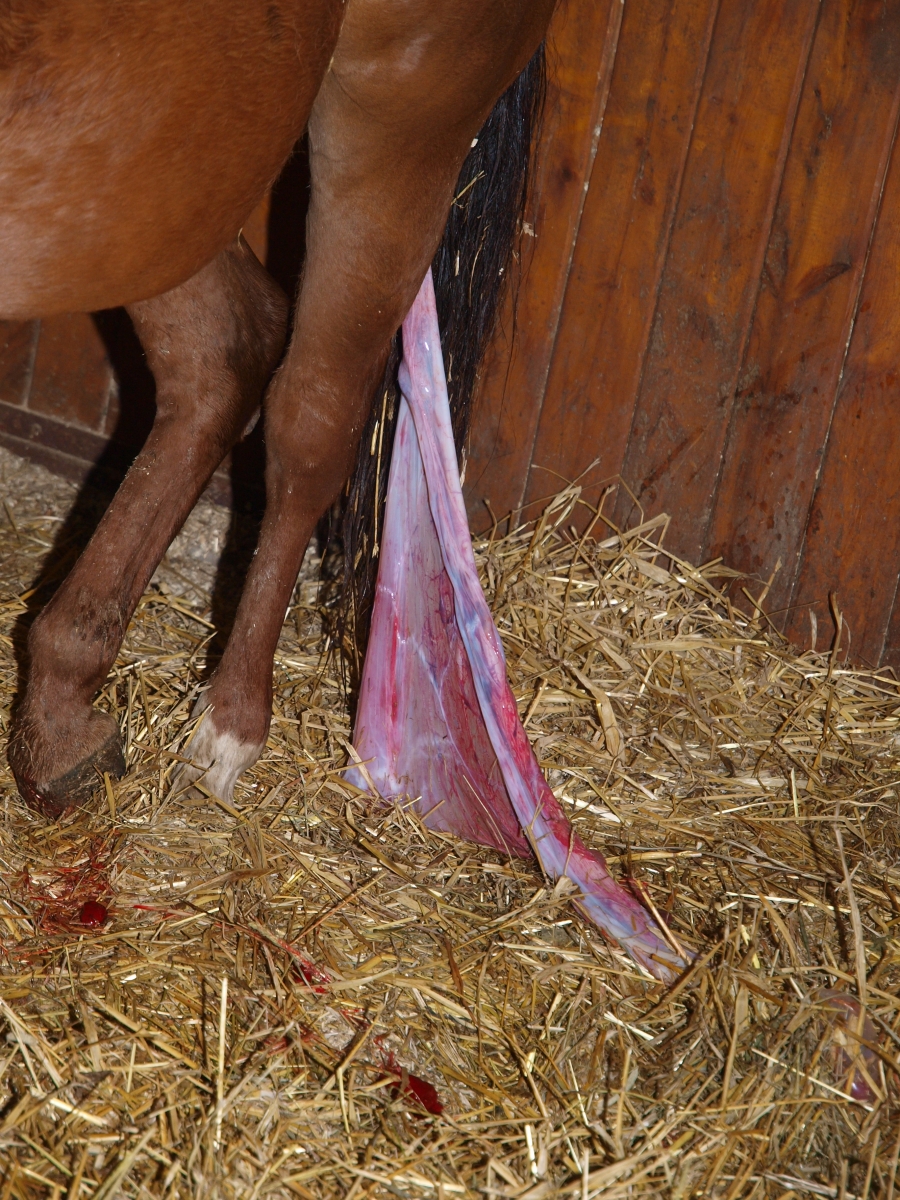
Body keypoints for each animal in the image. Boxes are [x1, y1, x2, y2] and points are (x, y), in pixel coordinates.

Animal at [0, 0, 555, 818]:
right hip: (149, 178)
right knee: (224, 352)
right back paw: (61, 718)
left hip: (395, 120)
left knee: (310, 421)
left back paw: (227, 727)